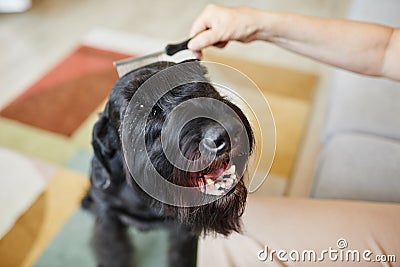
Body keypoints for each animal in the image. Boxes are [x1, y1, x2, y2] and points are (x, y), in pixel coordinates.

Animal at [83, 60, 255, 267]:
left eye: (200, 82)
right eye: (142, 110)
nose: (224, 134)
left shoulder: (183, 232)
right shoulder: (108, 219)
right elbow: (113, 253)